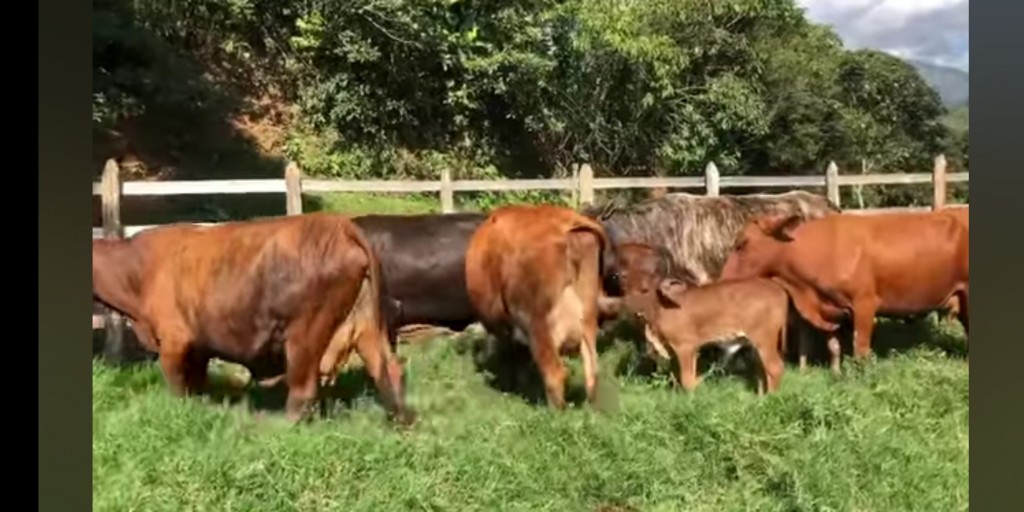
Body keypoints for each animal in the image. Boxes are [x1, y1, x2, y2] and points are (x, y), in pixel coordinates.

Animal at [91, 212, 414, 425]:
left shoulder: (175, 341)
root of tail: (339, 224)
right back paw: (401, 423)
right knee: (388, 370)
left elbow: (178, 387)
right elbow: (197, 386)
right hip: (366, 325)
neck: (138, 269)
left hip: (305, 334)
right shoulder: (200, 348)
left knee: (303, 387)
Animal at [612, 242, 791, 394]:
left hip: (764, 338)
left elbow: (687, 381)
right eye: (623, 274)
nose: (639, 292)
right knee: (762, 371)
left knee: (775, 368)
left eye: (653, 273)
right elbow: (679, 376)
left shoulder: (685, 345)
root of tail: (776, 288)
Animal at [719, 210, 969, 366]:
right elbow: (834, 347)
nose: (722, 279)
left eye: (741, 244)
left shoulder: (864, 304)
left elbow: (860, 348)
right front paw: (836, 374)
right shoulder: (830, 308)